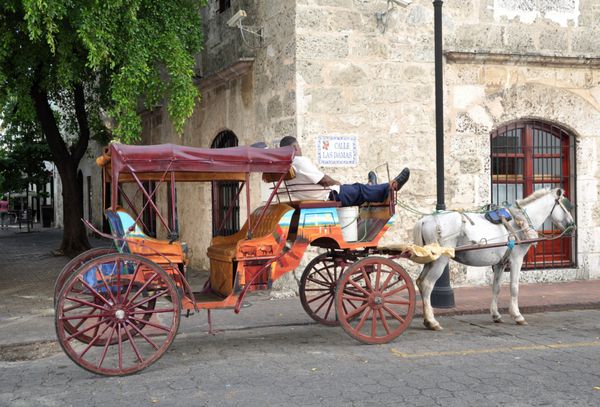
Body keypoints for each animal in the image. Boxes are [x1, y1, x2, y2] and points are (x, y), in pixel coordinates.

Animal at [412, 189, 576, 332]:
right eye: (566, 205)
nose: (573, 226)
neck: (519, 221)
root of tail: (426, 220)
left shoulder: (500, 264)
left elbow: (496, 287)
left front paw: (496, 315)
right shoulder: (516, 260)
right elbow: (514, 287)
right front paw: (517, 315)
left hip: (431, 260)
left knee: (420, 282)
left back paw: (427, 319)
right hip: (441, 259)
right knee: (427, 284)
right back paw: (432, 321)